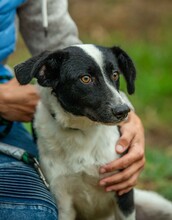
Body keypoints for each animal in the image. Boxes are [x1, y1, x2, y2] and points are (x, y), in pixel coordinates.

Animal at [14, 44, 172, 220]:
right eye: (85, 78)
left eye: (115, 74)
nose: (123, 111)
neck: (83, 131)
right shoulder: (62, 198)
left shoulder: (123, 191)